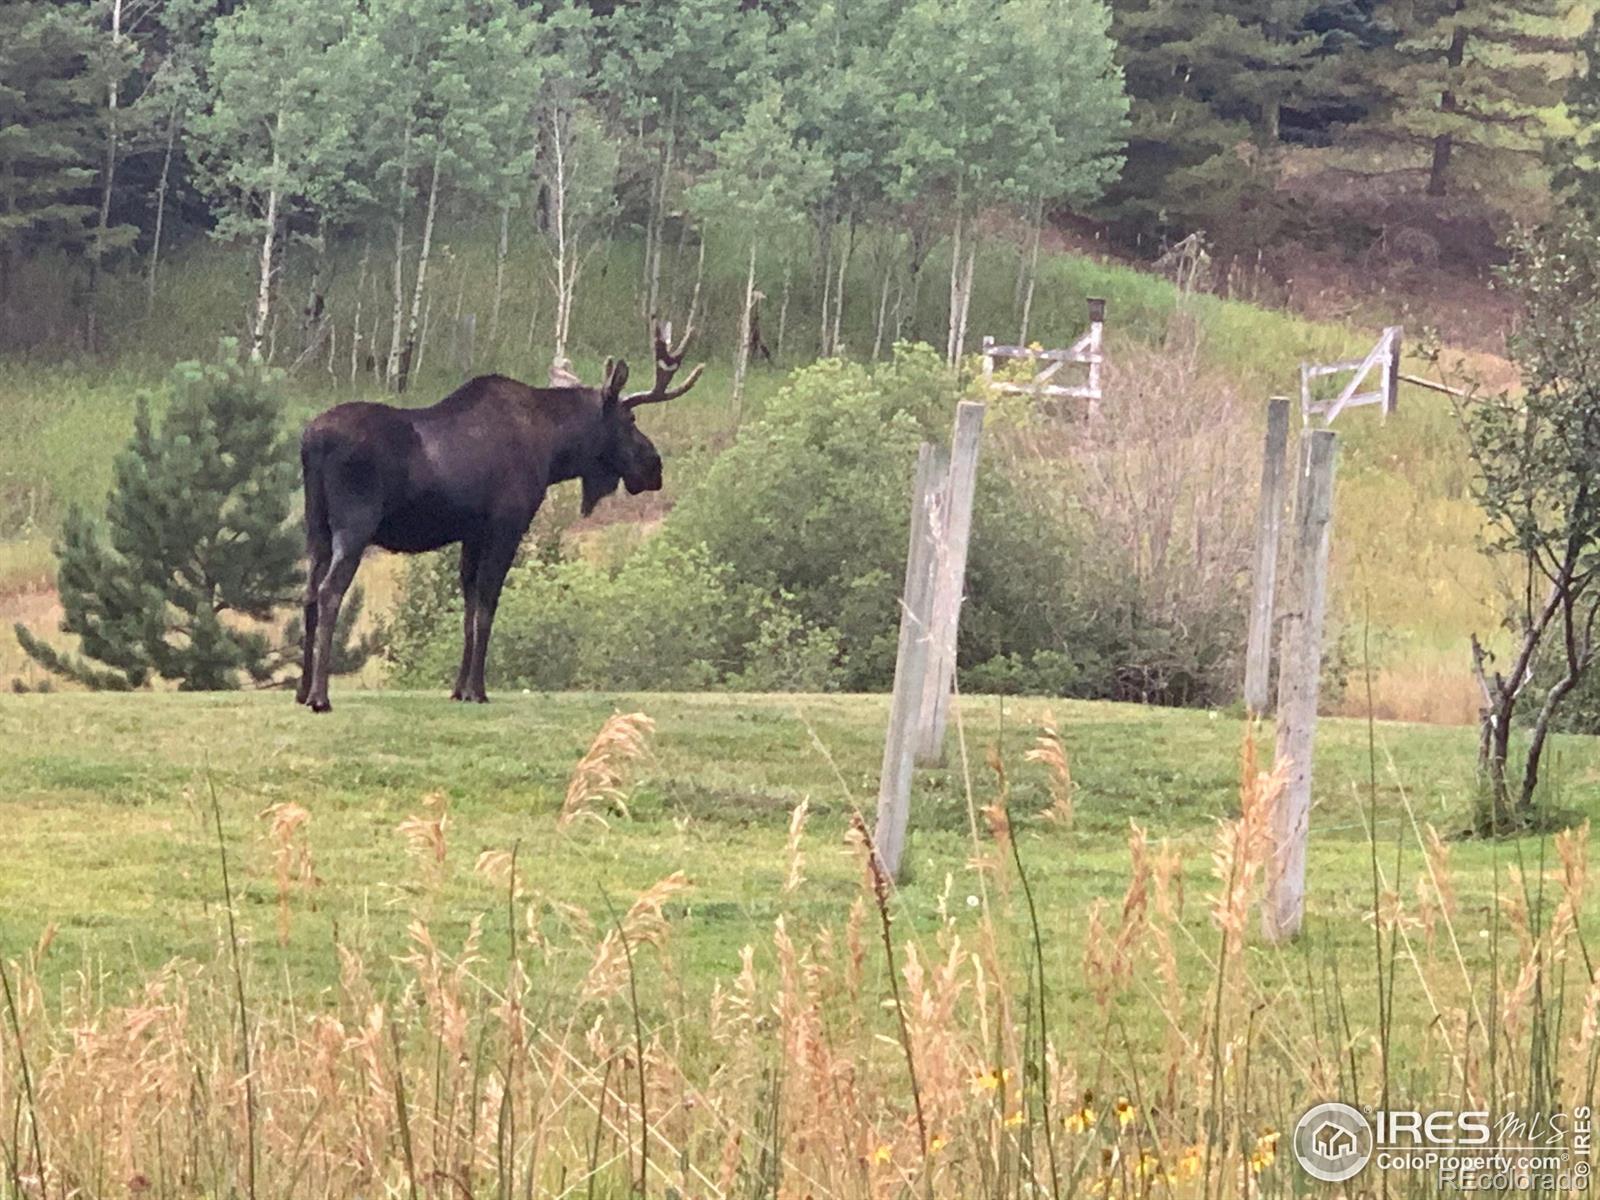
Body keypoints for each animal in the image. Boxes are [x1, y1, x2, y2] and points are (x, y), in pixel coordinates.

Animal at [297, 321, 704, 713]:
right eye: (630, 418)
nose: (654, 467)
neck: (555, 451)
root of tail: (311, 440)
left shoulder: (472, 534)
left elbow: (467, 608)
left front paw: (458, 690)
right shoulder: (507, 525)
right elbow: (487, 606)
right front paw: (477, 690)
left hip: (316, 527)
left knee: (308, 594)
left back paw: (301, 691)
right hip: (354, 524)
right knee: (330, 592)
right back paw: (320, 696)